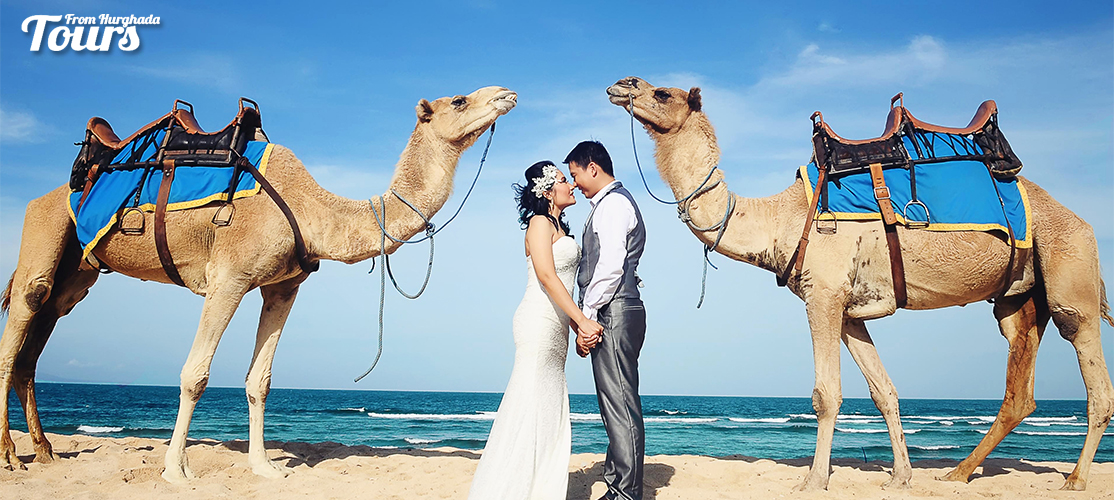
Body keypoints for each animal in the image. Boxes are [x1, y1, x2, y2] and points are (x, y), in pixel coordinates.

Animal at [0, 85, 517, 482]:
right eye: (459, 99)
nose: (506, 93)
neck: (312, 211)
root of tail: (46, 193)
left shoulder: (283, 288)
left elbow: (259, 381)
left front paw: (265, 467)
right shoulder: (228, 277)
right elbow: (195, 373)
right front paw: (175, 470)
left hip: (78, 273)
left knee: (39, 336)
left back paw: (45, 452)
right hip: (44, 229)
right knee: (23, 316)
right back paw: (12, 457)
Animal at [605, 76, 1113, 491]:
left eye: (662, 93)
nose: (621, 84)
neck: (781, 219)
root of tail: (1081, 220)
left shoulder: (824, 296)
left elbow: (825, 395)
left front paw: (813, 481)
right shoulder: (850, 310)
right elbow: (884, 392)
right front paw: (901, 477)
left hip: (1070, 268)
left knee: (1092, 372)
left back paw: (1075, 478)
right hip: (1018, 298)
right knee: (1019, 389)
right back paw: (958, 473)